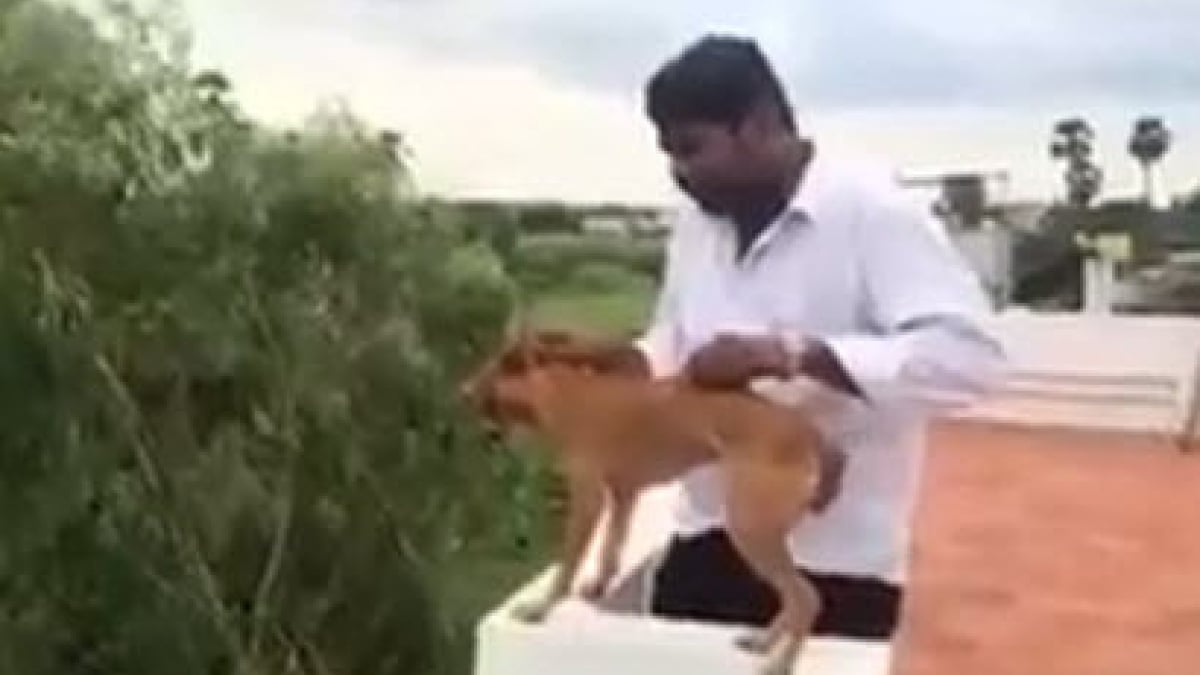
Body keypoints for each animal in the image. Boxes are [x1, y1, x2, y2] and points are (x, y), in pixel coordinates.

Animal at [458, 326, 844, 672]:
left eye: (491, 368)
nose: (461, 391)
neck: (565, 393)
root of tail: (807, 431)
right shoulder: (623, 493)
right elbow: (611, 547)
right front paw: (598, 584)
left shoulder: (588, 497)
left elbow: (569, 563)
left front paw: (541, 607)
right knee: (796, 599)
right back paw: (763, 640)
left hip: (750, 528)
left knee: (806, 598)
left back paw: (780, 660)